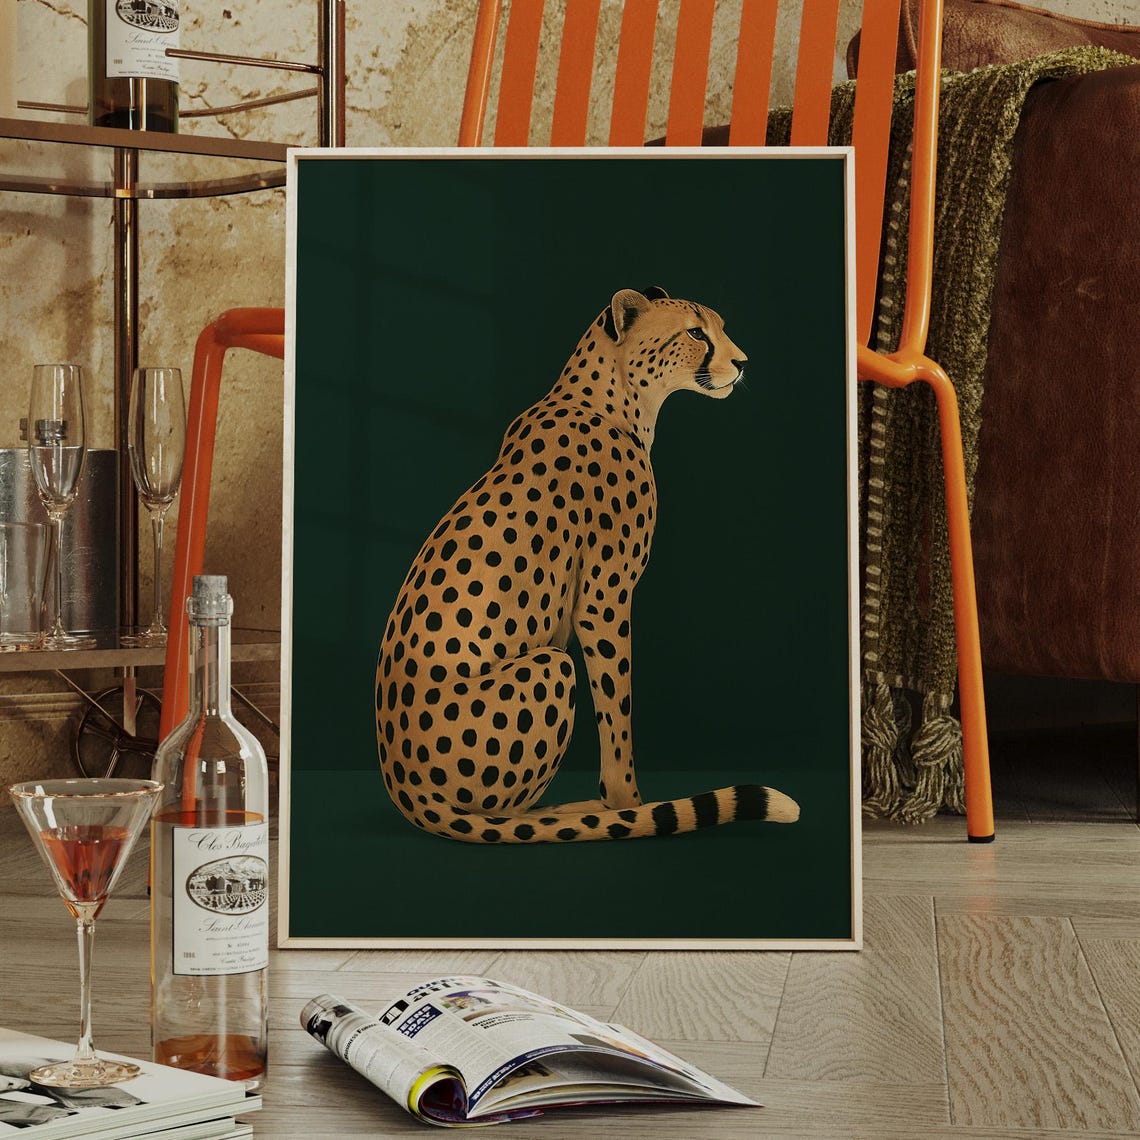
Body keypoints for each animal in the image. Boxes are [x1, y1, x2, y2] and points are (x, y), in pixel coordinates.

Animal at [375, 287, 800, 843]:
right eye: (695, 332)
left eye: (720, 327)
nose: (743, 362)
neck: (612, 396)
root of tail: (402, 787)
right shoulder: (604, 597)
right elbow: (617, 710)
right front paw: (629, 806)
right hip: (551, 666)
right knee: (501, 817)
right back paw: (579, 814)